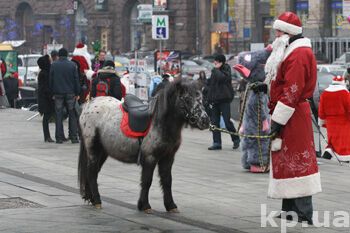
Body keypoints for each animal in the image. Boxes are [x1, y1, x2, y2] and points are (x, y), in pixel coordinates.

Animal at [78, 80, 211, 213]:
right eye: (187, 99)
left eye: (201, 98)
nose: (205, 120)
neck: (160, 122)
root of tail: (89, 104)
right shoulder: (150, 157)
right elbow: (147, 181)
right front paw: (145, 205)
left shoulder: (168, 158)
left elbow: (167, 181)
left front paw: (170, 205)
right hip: (93, 149)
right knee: (92, 172)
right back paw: (97, 200)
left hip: (103, 151)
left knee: (93, 172)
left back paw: (91, 198)